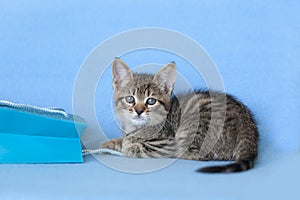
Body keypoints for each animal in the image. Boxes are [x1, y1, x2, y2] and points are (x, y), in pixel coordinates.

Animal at [100, 57, 258, 172]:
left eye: (151, 101)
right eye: (130, 99)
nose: (139, 111)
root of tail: (247, 124)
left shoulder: (165, 141)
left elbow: (134, 145)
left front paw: (127, 145)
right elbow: (123, 139)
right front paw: (109, 143)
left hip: (193, 127)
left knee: (200, 154)